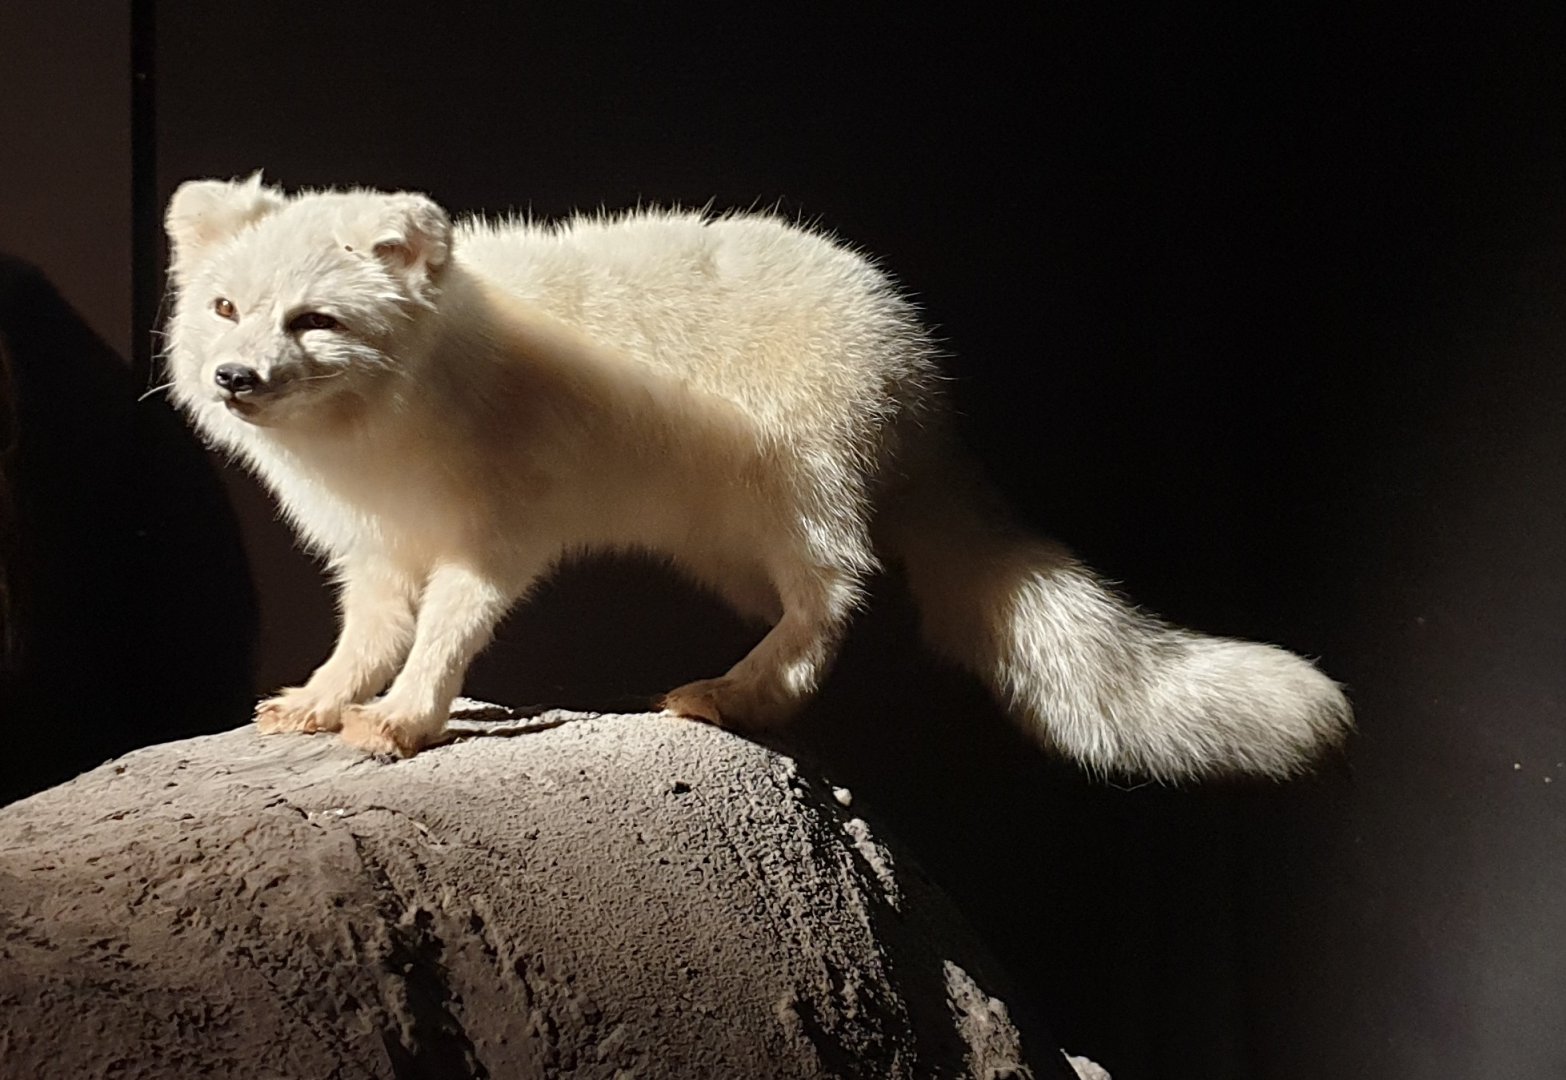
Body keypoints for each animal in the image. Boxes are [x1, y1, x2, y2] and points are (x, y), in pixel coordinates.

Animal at [161, 173, 1351, 779]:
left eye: (312, 321)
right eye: (225, 307)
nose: (233, 378)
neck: (378, 442)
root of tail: (918, 367)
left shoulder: (495, 541)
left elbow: (447, 638)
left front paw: (406, 721)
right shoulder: (372, 557)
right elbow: (365, 641)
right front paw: (322, 702)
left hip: (799, 502)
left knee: (838, 598)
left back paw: (737, 694)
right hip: (727, 545)